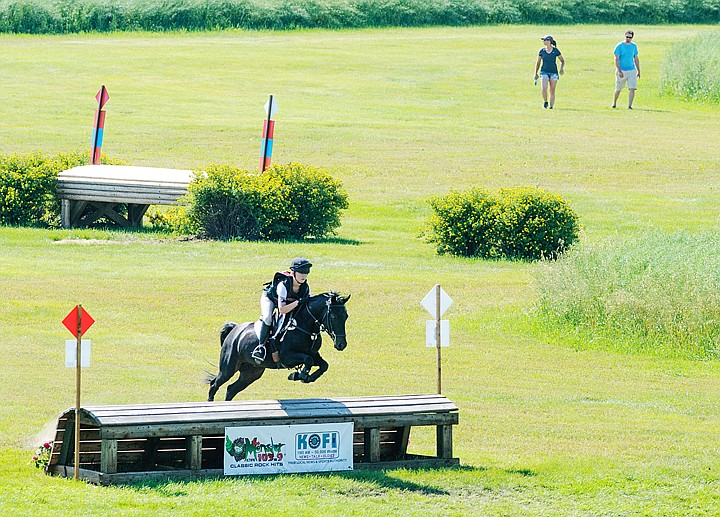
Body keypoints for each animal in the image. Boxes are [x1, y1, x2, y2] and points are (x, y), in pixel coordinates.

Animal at [206, 292, 350, 401]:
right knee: (215, 384)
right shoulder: (287, 357)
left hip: (251, 372)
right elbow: (308, 360)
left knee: (231, 389)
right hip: (229, 367)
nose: (341, 344)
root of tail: (234, 330)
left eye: (346, 316)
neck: (304, 325)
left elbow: (324, 365)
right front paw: (298, 375)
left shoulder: (313, 354)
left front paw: (305, 377)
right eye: (334, 316)